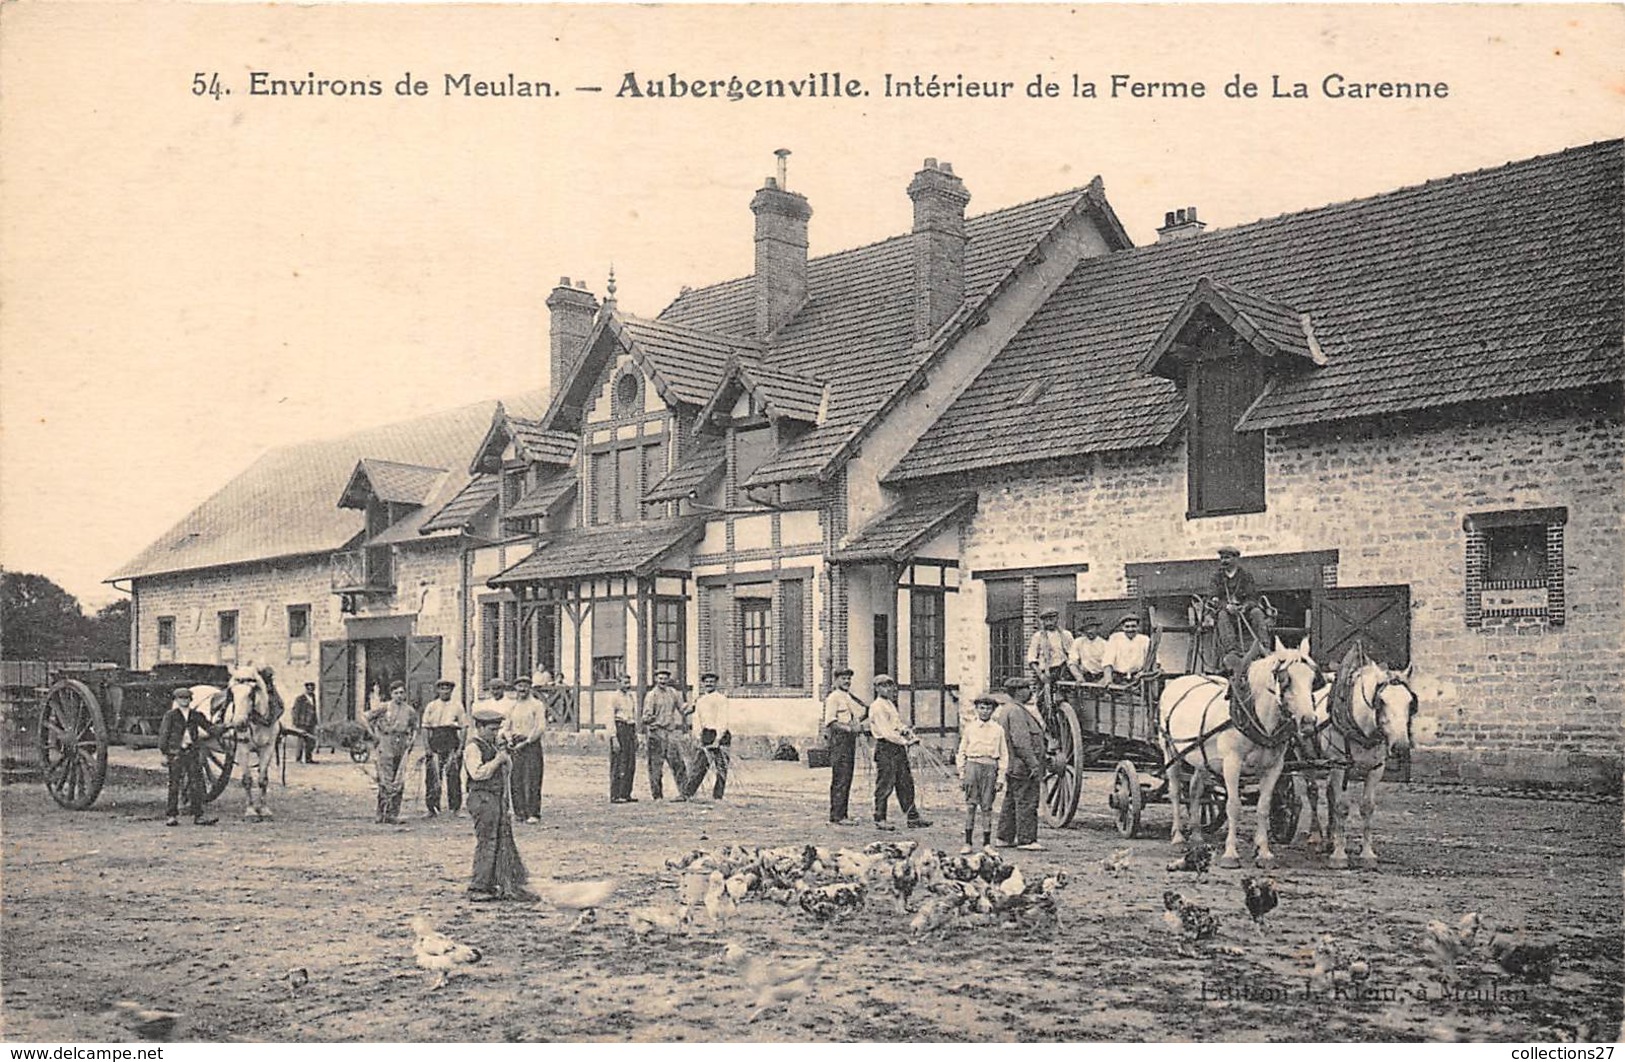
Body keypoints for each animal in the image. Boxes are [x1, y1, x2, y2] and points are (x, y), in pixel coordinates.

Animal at [1157, 636, 1319, 870]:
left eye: (1313, 678)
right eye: (1285, 678)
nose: (1308, 722)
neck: (1254, 715)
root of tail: (1179, 680)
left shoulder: (1274, 767)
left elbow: (1263, 807)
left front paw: (1264, 852)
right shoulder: (1231, 764)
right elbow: (1233, 806)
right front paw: (1230, 854)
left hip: (1200, 758)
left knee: (1195, 790)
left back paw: (1196, 836)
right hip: (1170, 752)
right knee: (1176, 791)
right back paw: (1178, 836)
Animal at [1300, 652, 1417, 870]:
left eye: (1410, 702)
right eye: (1381, 701)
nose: (1401, 746)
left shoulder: (1376, 769)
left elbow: (1367, 807)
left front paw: (1367, 854)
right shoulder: (1339, 766)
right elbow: (1341, 807)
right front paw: (1339, 855)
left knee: (1329, 793)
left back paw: (1330, 838)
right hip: (1306, 757)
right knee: (1313, 792)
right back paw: (1316, 837)